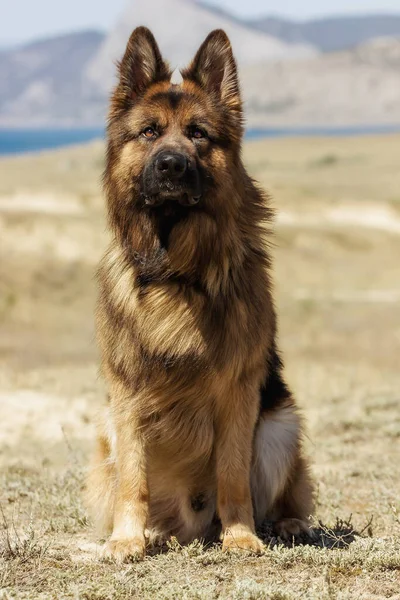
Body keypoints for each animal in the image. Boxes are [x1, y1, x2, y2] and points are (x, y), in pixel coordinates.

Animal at [86, 25, 314, 560]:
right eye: (149, 132)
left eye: (198, 134)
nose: (171, 166)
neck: (176, 271)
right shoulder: (126, 396)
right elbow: (133, 479)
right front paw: (126, 540)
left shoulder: (238, 390)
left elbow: (232, 474)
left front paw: (242, 535)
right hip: (105, 430)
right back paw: (152, 531)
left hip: (281, 425)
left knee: (282, 492)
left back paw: (285, 523)